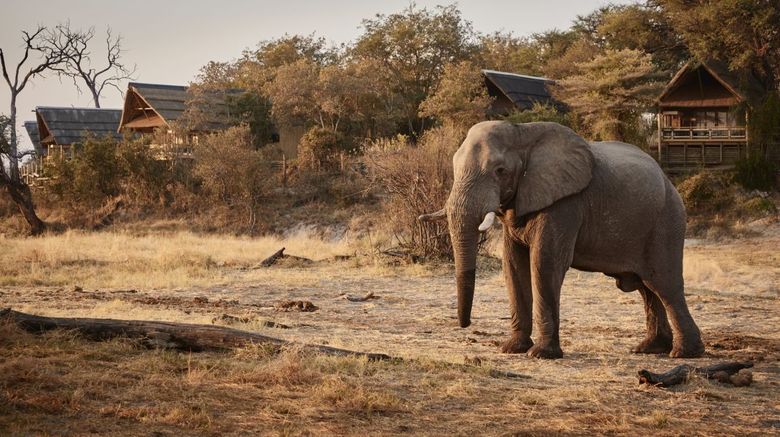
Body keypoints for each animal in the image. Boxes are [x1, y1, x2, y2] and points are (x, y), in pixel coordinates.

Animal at [419, 121, 704, 359]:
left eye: (500, 170)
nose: (465, 324)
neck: (522, 132)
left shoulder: (566, 203)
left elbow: (545, 263)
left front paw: (540, 354)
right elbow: (513, 266)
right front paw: (512, 349)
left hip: (666, 222)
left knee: (664, 285)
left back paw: (683, 354)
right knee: (647, 288)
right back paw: (649, 349)